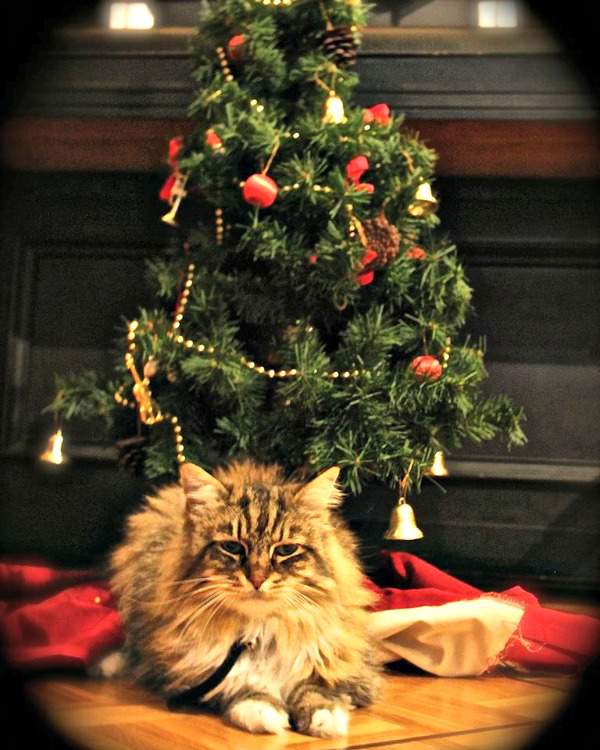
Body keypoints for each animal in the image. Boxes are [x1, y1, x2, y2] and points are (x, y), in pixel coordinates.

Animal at [109, 462, 380, 736]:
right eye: (232, 547)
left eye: (286, 550)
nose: (257, 580)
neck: (261, 632)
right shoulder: (189, 677)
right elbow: (243, 686)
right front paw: (263, 709)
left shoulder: (351, 669)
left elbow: (317, 688)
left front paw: (325, 716)